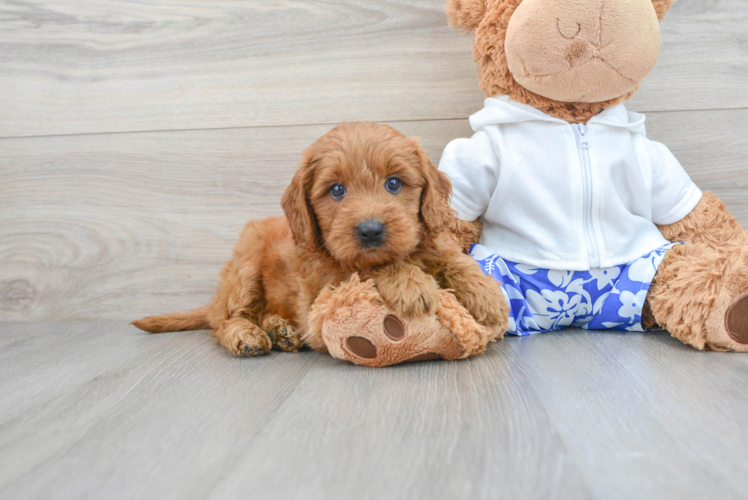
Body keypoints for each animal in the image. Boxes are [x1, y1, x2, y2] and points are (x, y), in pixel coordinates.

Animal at [134, 121, 508, 358]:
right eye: (337, 190)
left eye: (394, 183)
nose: (371, 230)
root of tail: (215, 298)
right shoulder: (324, 291)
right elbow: (367, 268)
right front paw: (412, 285)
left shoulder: (432, 240)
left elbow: (455, 259)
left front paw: (487, 294)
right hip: (246, 265)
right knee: (225, 320)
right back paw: (248, 336)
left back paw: (280, 330)